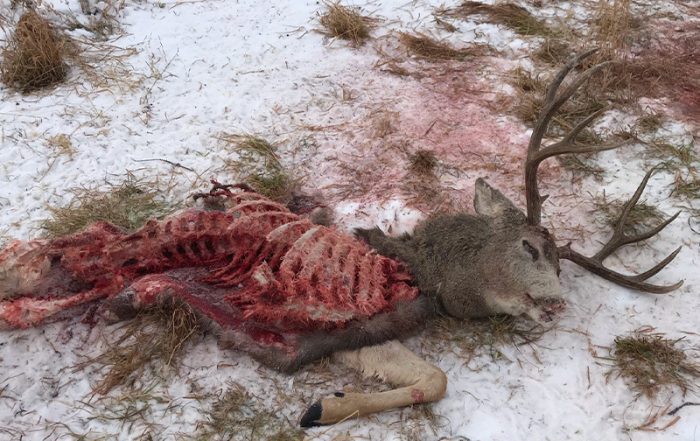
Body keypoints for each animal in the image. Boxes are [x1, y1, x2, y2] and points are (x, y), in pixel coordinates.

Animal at [0, 50, 683, 428]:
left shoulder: (351, 337)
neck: (419, 269)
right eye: (530, 248)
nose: (556, 304)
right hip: (129, 250)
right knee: (61, 257)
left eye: (564, 267)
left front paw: (323, 407)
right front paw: (319, 408)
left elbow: (432, 379)